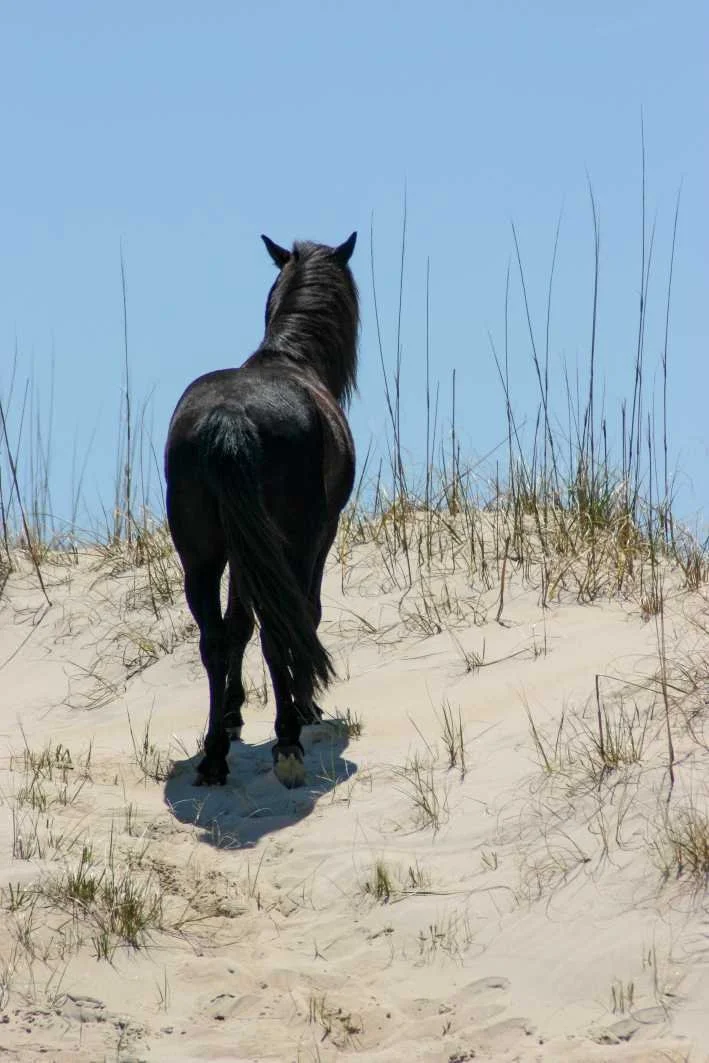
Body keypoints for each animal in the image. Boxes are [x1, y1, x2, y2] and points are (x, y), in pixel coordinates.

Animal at [164, 232, 358, 789]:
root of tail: (229, 416)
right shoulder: (320, 534)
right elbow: (304, 614)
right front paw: (304, 706)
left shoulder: (242, 549)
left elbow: (237, 625)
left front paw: (231, 715)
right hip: (292, 540)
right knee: (280, 625)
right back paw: (288, 738)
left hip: (202, 557)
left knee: (214, 638)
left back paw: (213, 757)